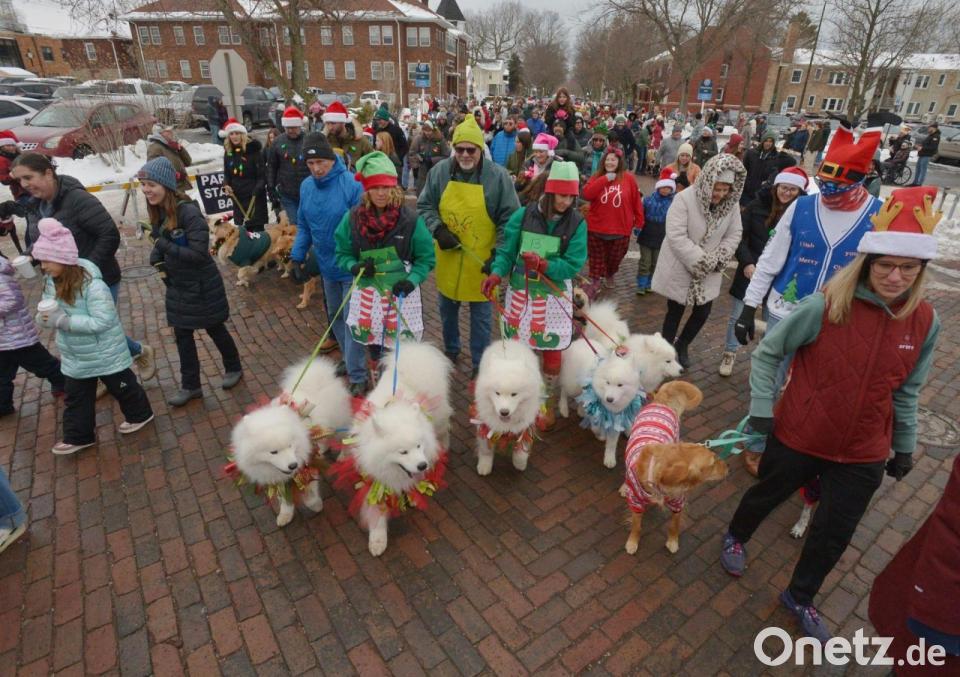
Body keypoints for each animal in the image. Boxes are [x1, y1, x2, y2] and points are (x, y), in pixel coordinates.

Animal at [229, 355, 353, 527]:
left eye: (290, 445)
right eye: (273, 452)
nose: (293, 465)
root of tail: (319, 377)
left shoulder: (307, 463)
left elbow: (310, 493)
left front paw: (315, 505)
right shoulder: (279, 477)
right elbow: (285, 500)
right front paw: (285, 515)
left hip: (339, 424)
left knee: (344, 439)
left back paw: (343, 455)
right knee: (324, 437)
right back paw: (323, 448)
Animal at [337, 342, 452, 556]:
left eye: (419, 445)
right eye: (403, 452)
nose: (423, 465)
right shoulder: (373, 478)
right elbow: (376, 510)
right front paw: (377, 539)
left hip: (439, 418)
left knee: (444, 429)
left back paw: (445, 445)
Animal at [472, 340, 544, 475]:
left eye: (514, 394)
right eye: (497, 393)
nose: (504, 412)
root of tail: (509, 341)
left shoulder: (525, 425)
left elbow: (522, 448)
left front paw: (519, 463)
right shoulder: (485, 423)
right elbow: (485, 448)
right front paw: (484, 465)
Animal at [620, 381, 726, 554]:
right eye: (713, 463)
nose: (727, 467)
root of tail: (661, 400)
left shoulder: (678, 502)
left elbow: (674, 525)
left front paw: (673, 541)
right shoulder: (635, 501)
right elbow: (636, 525)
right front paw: (632, 541)